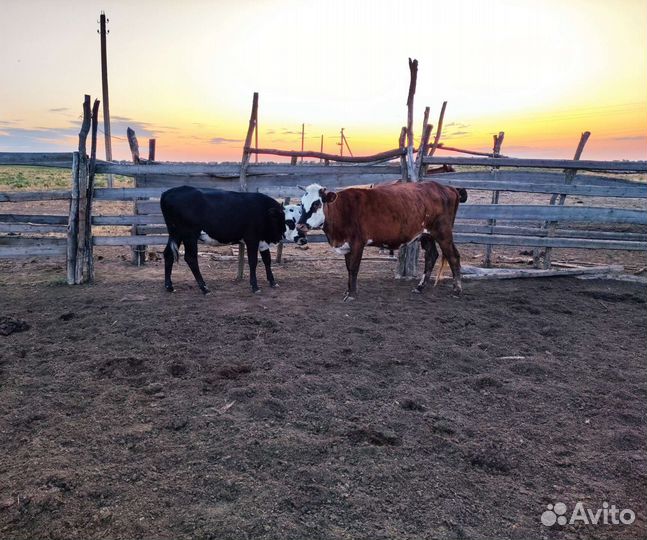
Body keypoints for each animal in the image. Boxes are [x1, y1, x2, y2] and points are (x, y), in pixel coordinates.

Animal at [298, 181, 468, 301]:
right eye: (301, 203)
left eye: (317, 203)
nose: (300, 225)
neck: (342, 210)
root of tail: (446, 187)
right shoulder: (347, 245)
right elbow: (348, 268)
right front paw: (348, 290)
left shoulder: (357, 243)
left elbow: (353, 268)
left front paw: (351, 294)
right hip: (426, 235)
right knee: (431, 256)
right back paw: (420, 287)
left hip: (443, 233)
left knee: (453, 257)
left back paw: (457, 290)